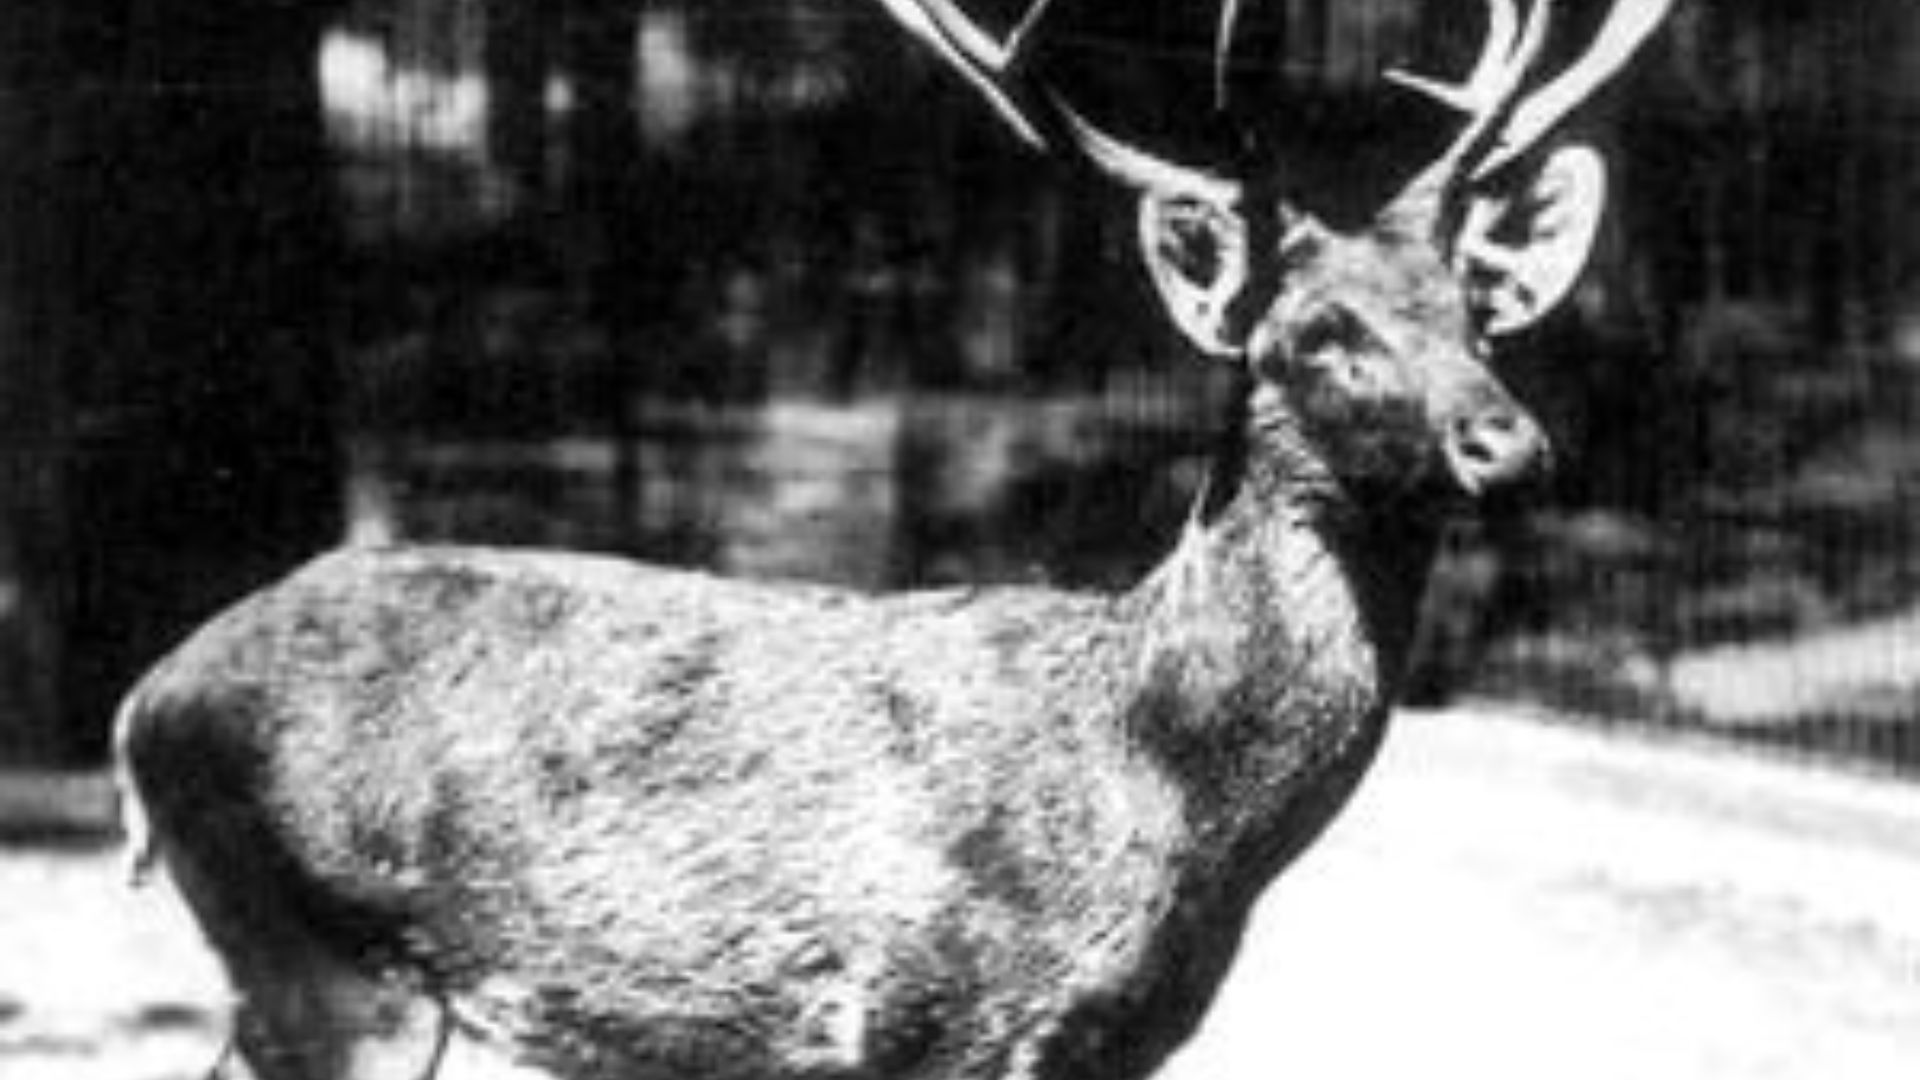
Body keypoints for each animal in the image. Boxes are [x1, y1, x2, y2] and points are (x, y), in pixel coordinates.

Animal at [114, 2, 1672, 1078]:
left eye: (1477, 316)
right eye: (1318, 333)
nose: (1509, 445)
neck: (1164, 800)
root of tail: (146, 700)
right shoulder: (919, 1015)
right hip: (326, 958)